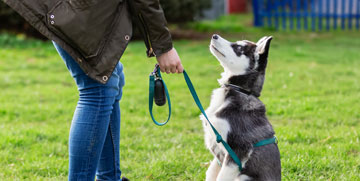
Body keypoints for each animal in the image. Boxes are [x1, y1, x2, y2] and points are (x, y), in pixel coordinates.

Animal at [201, 34, 280, 180]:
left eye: (238, 48)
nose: (214, 35)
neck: (238, 90)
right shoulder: (218, 155)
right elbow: (211, 173)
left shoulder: (238, 151)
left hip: (243, 177)